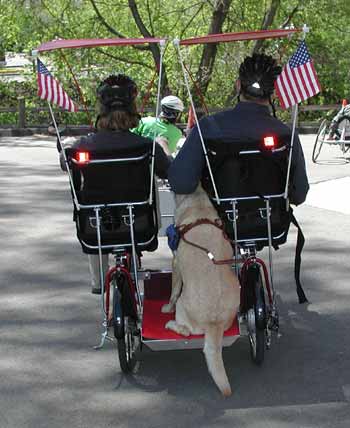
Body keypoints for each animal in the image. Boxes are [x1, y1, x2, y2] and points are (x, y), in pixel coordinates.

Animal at [162, 183, 241, 394]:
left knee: (186, 332)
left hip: (183, 305)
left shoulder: (175, 263)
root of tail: (214, 323)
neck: (196, 201)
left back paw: (171, 324)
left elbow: (173, 291)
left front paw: (167, 307)